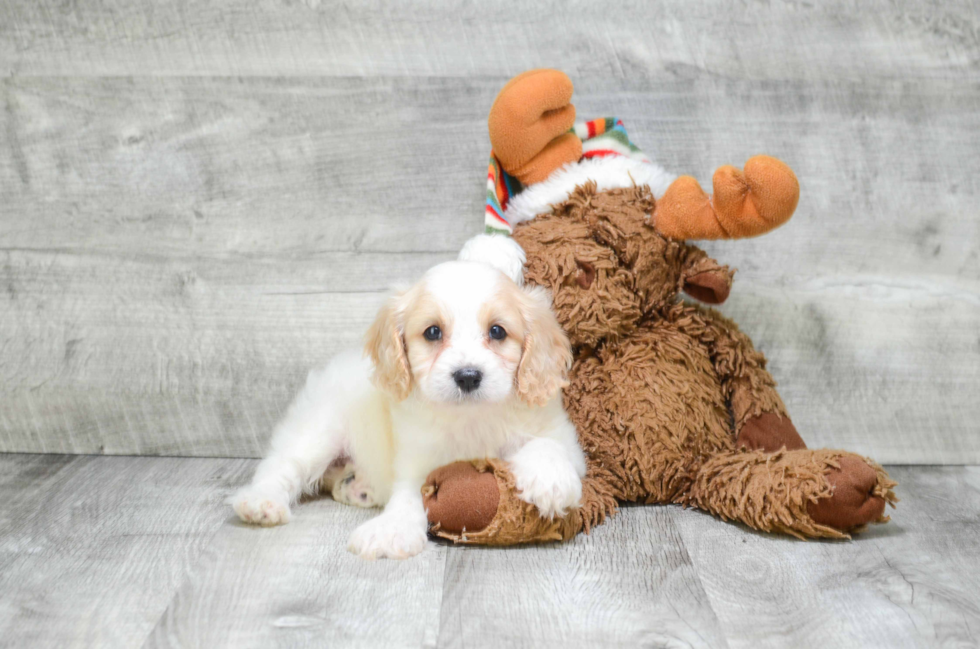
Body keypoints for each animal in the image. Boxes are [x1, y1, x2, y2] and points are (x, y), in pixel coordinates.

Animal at [230, 260, 580, 560]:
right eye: (433, 332)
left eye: (497, 331)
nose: (468, 375)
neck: (470, 417)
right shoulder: (415, 461)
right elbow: (409, 496)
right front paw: (392, 530)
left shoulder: (561, 433)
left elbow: (549, 444)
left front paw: (550, 480)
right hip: (319, 429)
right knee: (283, 465)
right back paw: (261, 502)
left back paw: (357, 487)